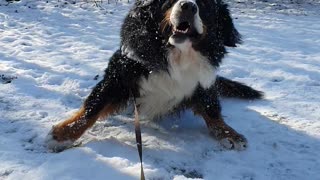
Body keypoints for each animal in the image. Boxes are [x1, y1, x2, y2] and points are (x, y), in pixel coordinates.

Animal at [47, 0, 262, 152]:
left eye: (204, 3)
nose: (188, 5)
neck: (177, 55)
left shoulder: (203, 83)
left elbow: (211, 109)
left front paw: (229, 133)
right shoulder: (120, 75)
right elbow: (93, 106)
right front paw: (63, 134)